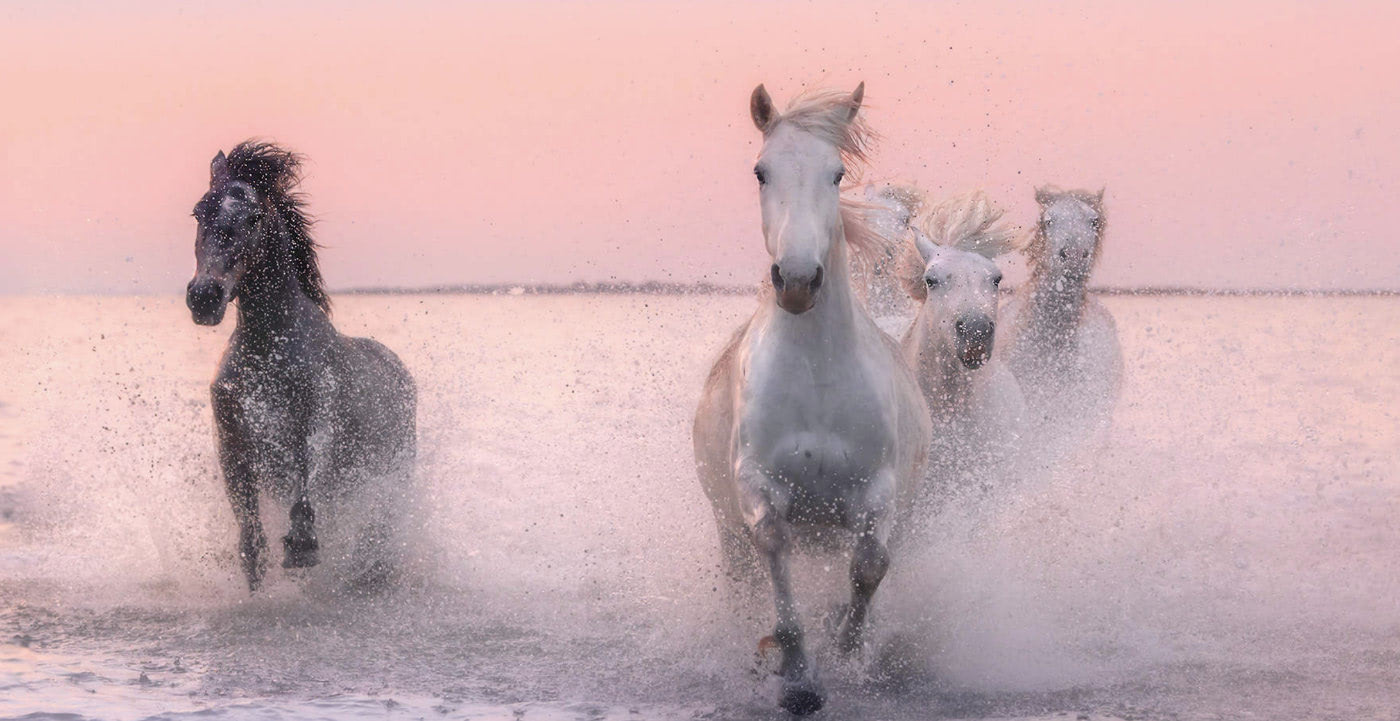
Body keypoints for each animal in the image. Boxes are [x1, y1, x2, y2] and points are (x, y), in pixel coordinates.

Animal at [186, 141, 414, 593]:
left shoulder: (317, 424)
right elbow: (251, 537)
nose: (204, 297)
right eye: (198, 212)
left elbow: (306, 481)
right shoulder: (232, 442)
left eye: (253, 217)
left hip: (391, 475)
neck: (268, 352)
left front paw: (302, 546)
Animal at [691, 84, 929, 716]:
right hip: (727, 532)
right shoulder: (757, 485)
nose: (797, 280)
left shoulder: (876, 489)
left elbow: (870, 566)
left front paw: (846, 650)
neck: (817, 376)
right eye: (760, 171)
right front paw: (797, 677)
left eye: (837, 173)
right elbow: (774, 549)